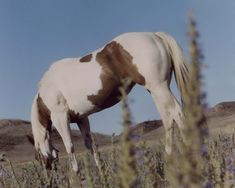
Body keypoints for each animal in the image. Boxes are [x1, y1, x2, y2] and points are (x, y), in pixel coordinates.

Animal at [31, 32, 188, 172]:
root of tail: (154, 35)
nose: (49, 175)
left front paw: (75, 176)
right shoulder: (82, 118)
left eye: (39, 159)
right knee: (168, 119)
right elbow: (90, 145)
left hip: (159, 88)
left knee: (177, 114)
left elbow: (69, 147)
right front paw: (101, 173)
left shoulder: (60, 117)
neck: (46, 90)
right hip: (157, 90)